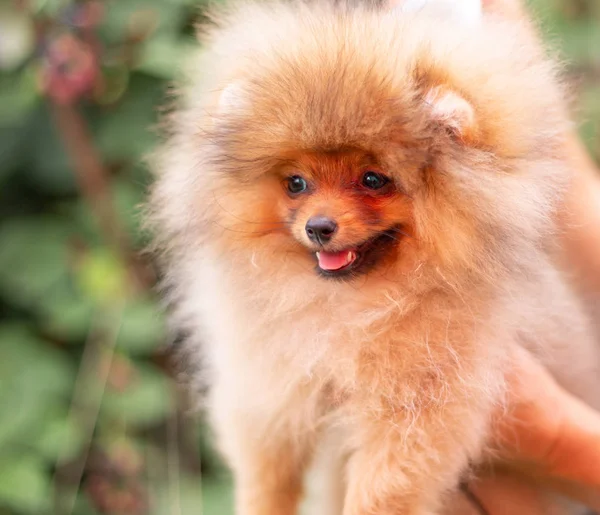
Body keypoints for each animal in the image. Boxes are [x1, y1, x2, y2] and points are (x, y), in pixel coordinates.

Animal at [148, 0, 600, 512]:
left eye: (372, 180)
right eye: (296, 183)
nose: (318, 227)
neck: (354, 305)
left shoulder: (421, 405)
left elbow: (383, 488)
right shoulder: (272, 381)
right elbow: (269, 469)